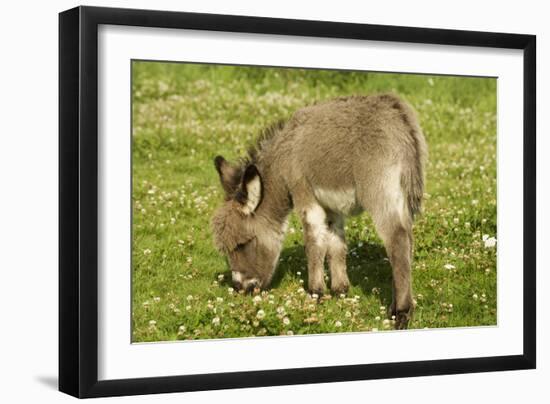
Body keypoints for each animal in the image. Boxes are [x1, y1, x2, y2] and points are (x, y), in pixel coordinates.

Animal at [211, 94, 426, 328]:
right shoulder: (331, 207)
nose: (240, 289)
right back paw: (397, 305)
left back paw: (401, 313)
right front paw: (340, 290)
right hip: (401, 197)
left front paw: (315, 293)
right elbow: (336, 243)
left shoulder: (304, 194)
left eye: (242, 244)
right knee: (407, 243)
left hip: (379, 191)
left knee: (397, 240)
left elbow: (314, 243)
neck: (284, 155)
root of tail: (399, 118)